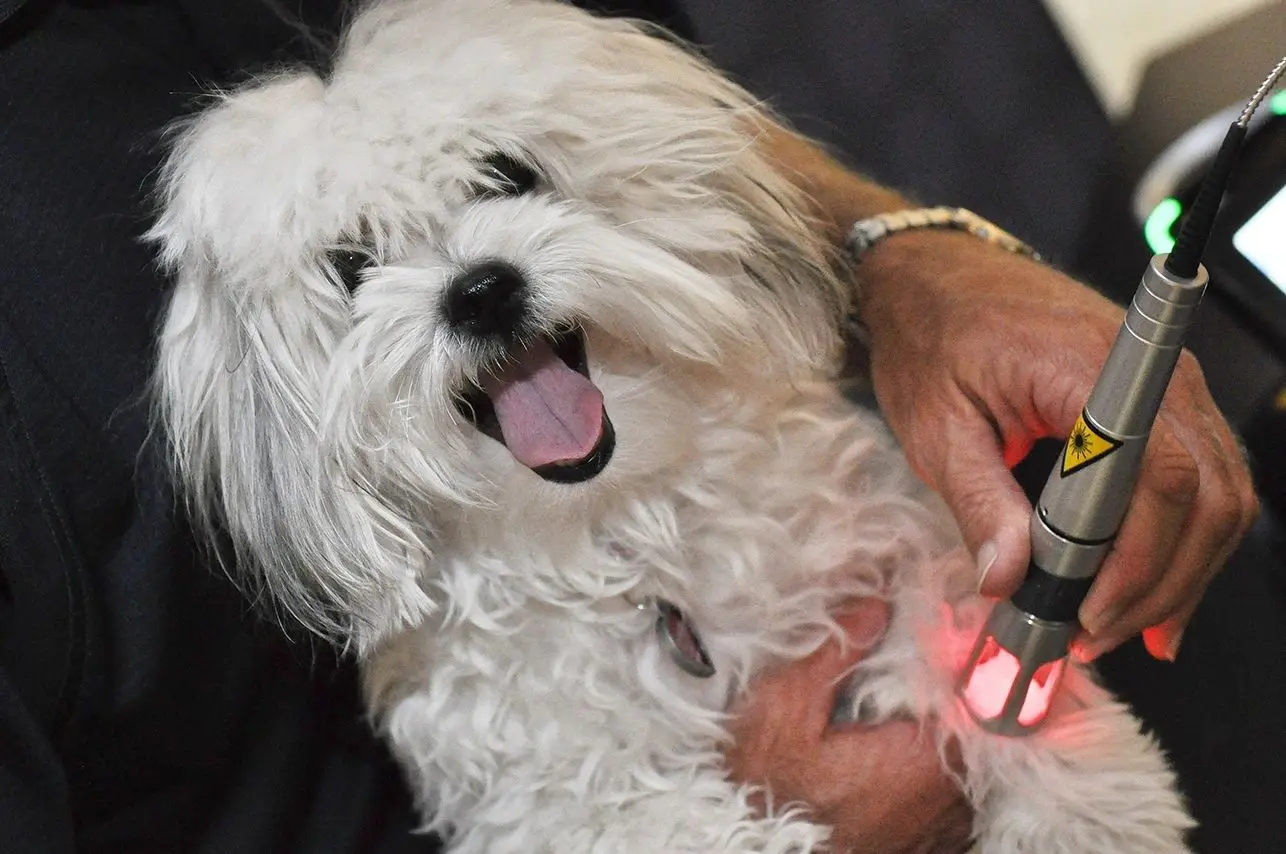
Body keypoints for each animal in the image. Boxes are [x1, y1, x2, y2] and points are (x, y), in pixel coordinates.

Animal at [147, 3, 1193, 848]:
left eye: (506, 173)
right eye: (352, 265)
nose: (480, 292)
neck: (626, 523)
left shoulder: (892, 544)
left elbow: (965, 638)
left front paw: (1080, 794)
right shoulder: (560, 801)